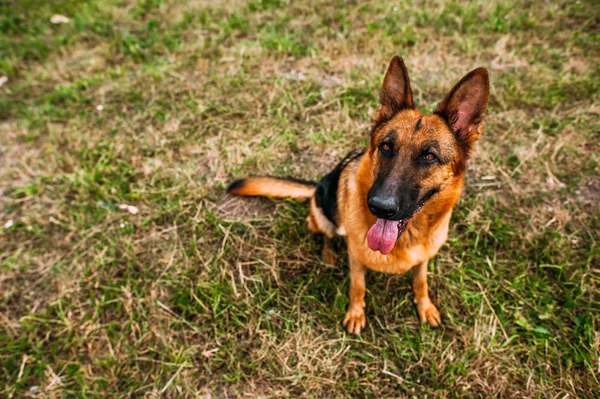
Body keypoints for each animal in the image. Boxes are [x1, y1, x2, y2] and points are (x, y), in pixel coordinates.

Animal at [227, 55, 490, 334]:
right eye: (386, 146)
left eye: (429, 156)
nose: (380, 206)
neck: (406, 237)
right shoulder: (355, 256)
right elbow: (358, 286)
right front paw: (355, 314)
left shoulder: (423, 258)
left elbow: (421, 282)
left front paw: (425, 306)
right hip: (321, 216)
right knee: (328, 235)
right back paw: (329, 255)